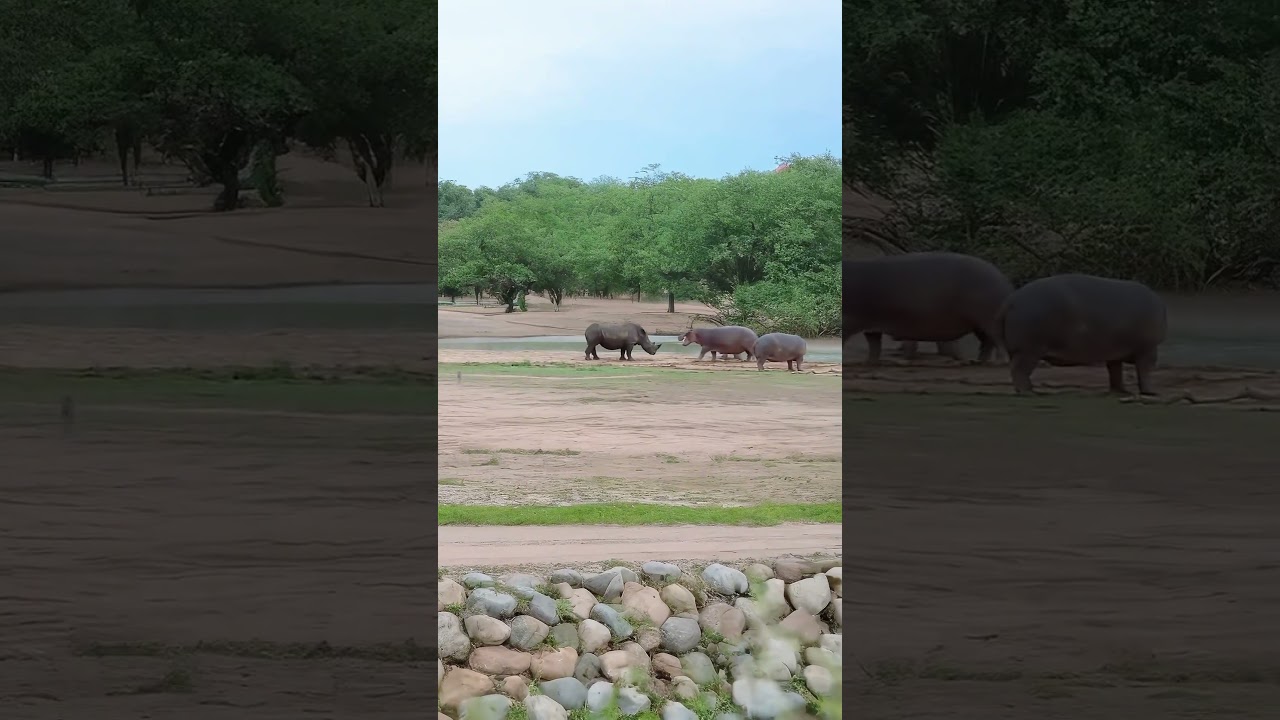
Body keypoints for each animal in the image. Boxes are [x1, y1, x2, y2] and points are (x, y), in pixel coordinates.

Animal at [843, 253, 1014, 364]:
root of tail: (1003, 279)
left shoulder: (850, 321)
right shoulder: (871, 326)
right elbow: (874, 346)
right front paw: (869, 363)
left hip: (989, 320)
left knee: (998, 340)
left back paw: (999, 362)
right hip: (979, 325)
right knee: (988, 343)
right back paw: (978, 361)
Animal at [997, 273, 1167, 395]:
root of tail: (1010, 301)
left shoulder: (1115, 352)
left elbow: (1115, 372)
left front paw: (1121, 392)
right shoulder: (1148, 348)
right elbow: (1145, 370)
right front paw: (1151, 393)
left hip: (1021, 350)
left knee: (1018, 370)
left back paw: (1030, 390)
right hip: (1029, 350)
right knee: (1019, 370)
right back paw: (1030, 393)